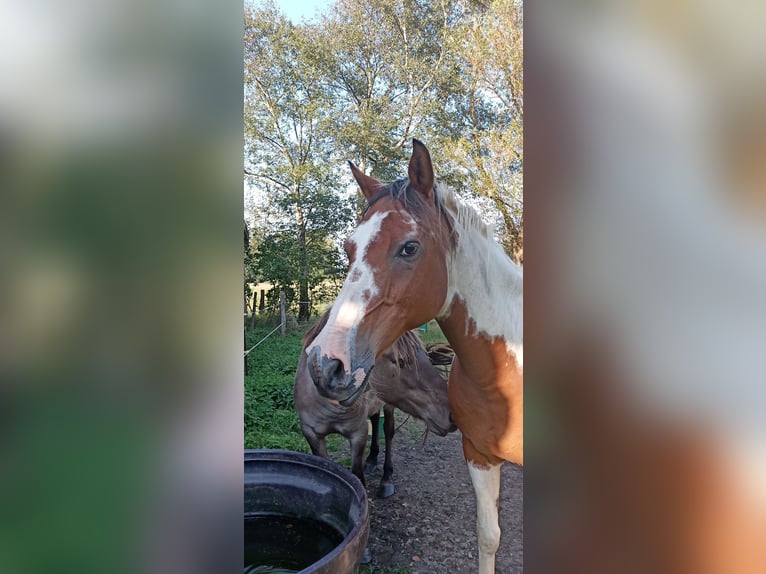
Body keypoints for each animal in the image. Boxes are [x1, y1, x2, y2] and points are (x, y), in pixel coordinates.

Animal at [296, 310, 460, 500]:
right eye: (400, 361)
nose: (452, 413)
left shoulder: (358, 435)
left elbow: (358, 476)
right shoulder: (312, 434)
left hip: (388, 406)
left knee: (387, 431)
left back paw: (386, 479)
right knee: (375, 421)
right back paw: (372, 459)